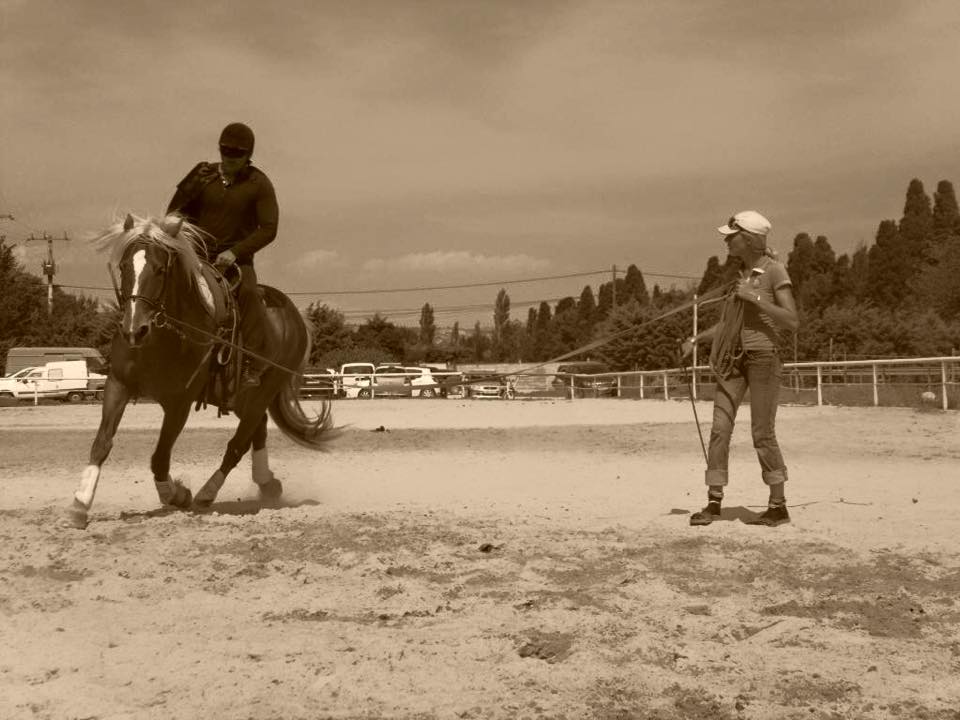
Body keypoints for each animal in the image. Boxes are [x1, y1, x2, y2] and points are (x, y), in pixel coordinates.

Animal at [65, 213, 333, 529]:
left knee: (237, 444)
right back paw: (267, 483)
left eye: (160, 269)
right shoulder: (118, 385)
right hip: (242, 399)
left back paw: (208, 492)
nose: (134, 329)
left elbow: (159, 458)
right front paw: (80, 504)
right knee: (258, 430)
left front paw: (177, 494)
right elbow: (102, 443)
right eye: (124, 267)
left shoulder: (179, 404)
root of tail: (296, 318)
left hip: (262, 392)